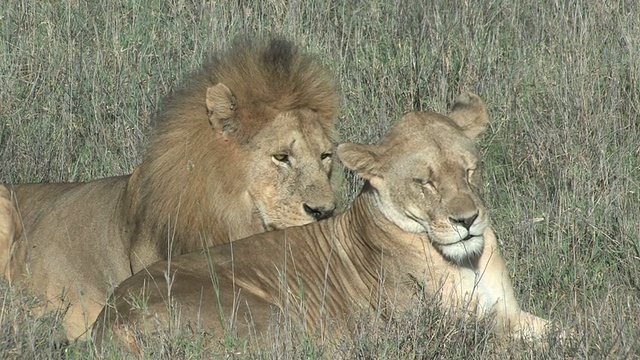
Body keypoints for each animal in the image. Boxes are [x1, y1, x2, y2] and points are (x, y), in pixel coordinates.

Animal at [91, 91, 552, 352]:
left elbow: (548, 326)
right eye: (425, 182)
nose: (468, 219)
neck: (465, 260)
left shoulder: (508, 310)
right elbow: (521, 340)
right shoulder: (444, 327)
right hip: (275, 320)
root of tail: (108, 322)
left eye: (470, 171)